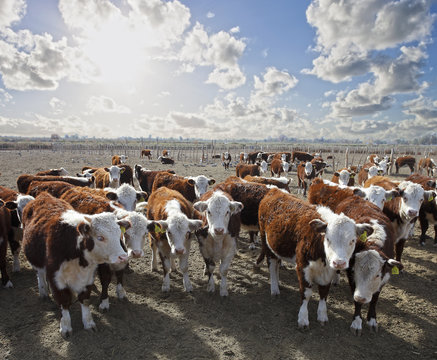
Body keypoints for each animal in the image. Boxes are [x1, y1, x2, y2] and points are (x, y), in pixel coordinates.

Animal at [21, 193, 127, 336]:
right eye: (100, 237)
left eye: (119, 233)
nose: (123, 257)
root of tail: (43, 196)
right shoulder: (56, 278)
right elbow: (64, 301)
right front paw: (66, 326)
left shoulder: (88, 277)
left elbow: (85, 299)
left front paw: (88, 323)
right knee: (40, 273)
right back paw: (43, 291)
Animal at [258, 188, 372, 330]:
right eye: (328, 239)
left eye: (352, 240)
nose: (339, 262)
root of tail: (275, 190)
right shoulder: (302, 266)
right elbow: (306, 293)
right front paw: (303, 318)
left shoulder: (329, 272)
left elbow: (324, 292)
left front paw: (322, 315)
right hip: (266, 242)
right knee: (272, 265)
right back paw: (274, 288)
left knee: (277, 264)